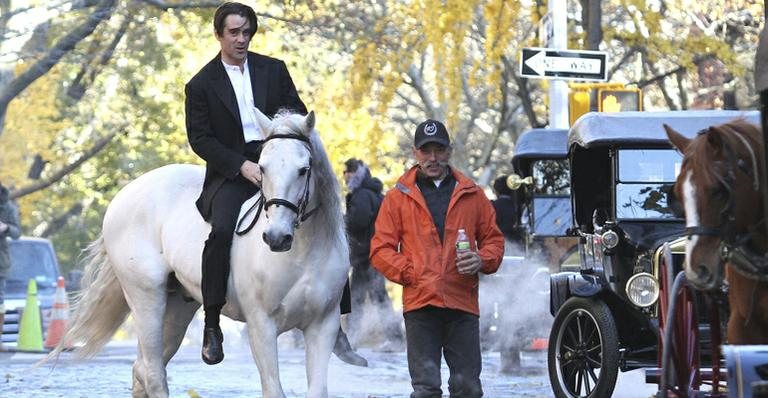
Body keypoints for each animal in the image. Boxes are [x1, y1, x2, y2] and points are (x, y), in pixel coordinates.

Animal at [53, 109, 352, 398]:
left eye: (304, 169)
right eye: (262, 168)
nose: (276, 237)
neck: (302, 254)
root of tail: (123, 195)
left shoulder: (322, 326)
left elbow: (318, 389)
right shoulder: (262, 325)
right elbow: (273, 390)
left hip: (178, 305)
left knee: (142, 369)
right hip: (145, 296)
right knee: (153, 373)